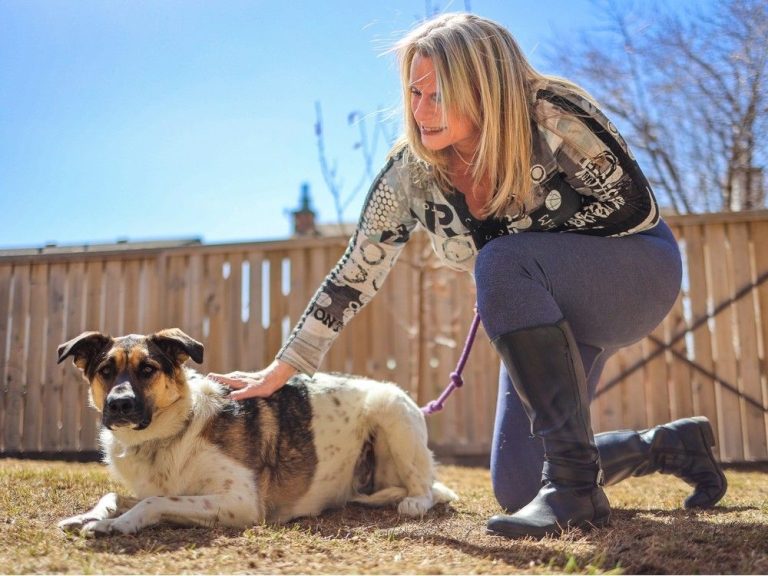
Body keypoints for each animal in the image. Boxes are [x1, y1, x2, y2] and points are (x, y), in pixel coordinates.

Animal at [57, 328, 460, 536]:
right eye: (106, 371)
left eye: (147, 370)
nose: (119, 404)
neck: (172, 433)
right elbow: (117, 495)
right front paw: (90, 516)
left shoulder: (240, 502)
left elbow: (154, 503)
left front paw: (117, 524)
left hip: (391, 410)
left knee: (427, 489)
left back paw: (414, 502)